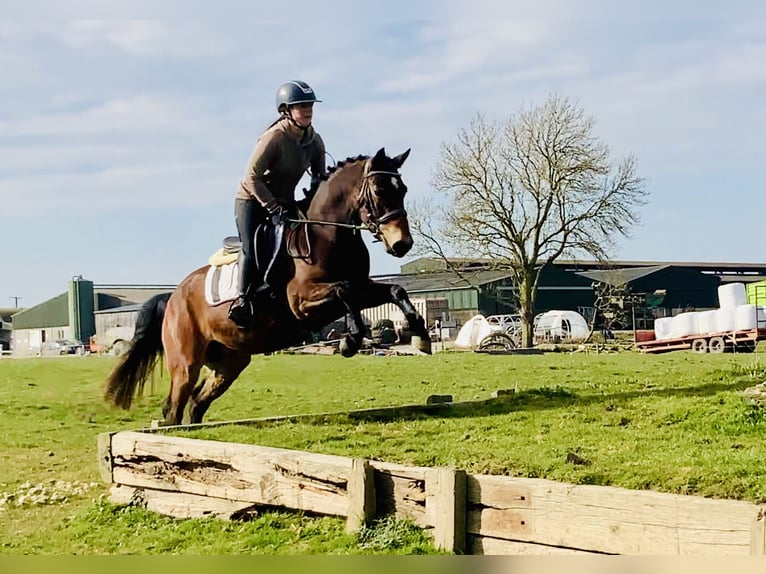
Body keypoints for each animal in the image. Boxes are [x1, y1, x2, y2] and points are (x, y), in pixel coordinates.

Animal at [103, 147, 432, 428]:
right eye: (379, 190)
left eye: (402, 190)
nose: (402, 244)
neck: (328, 234)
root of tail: (172, 296)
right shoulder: (301, 303)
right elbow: (343, 289)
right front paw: (350, 340)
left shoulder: (362, 288)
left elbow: (392, 291)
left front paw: (420, 337)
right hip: (186, 362)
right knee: (175, 405)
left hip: (229, 362)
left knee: (197, 402)